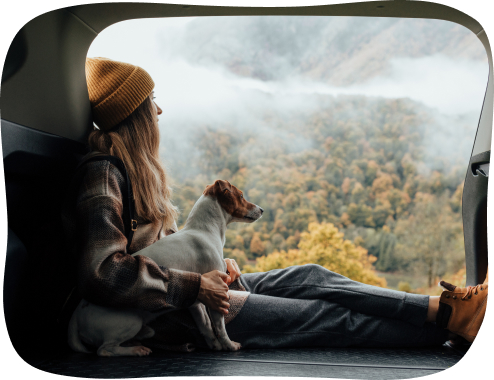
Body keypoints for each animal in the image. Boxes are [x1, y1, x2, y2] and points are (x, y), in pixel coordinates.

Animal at [68, 180, 266, 354]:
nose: (262, 209)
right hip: (130, 321)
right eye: (241, 195)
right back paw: (135, 350)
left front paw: (214, 345)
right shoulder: (217, 295)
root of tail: (76, 316)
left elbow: (205, 325)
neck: (205, 230)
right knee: (105, 350)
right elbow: (220, 327)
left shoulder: (196, 300)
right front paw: (229, 345)